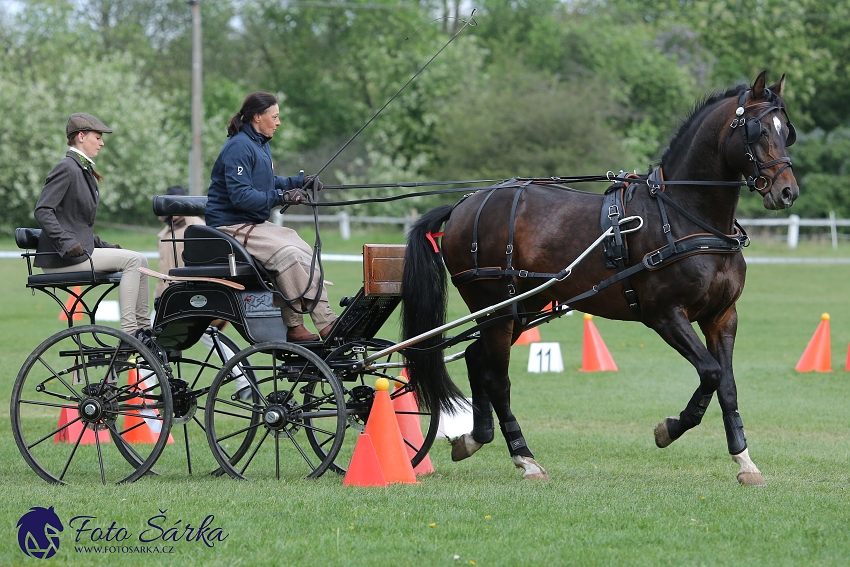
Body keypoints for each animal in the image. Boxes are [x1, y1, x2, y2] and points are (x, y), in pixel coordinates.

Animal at [400, 70, 800, 484]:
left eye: (785, 130)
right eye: (757, 130)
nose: (787, 192)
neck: (686, 216)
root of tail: (465, 204)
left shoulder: (722, 316)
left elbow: (727, 384)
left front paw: (744, 460)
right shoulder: (665, 315)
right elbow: (710, 372)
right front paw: (669, 429)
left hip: (520, 308)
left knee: (477, 357)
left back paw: (475, 438)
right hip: (496, 306)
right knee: (497, 377)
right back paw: (525, 458)